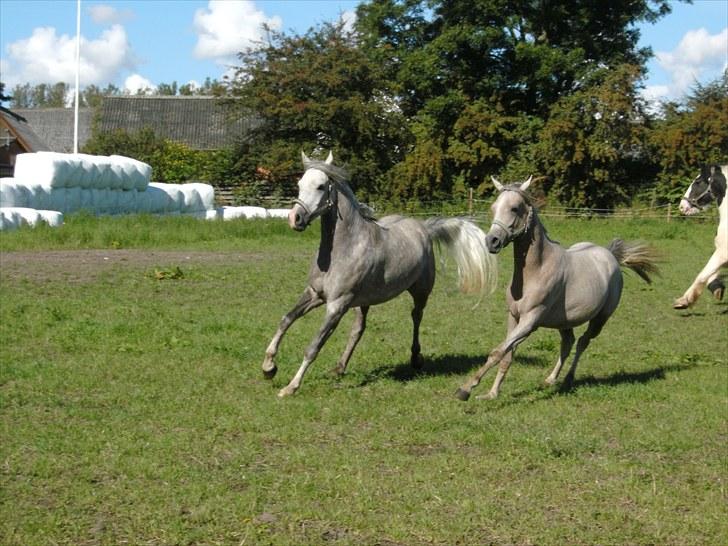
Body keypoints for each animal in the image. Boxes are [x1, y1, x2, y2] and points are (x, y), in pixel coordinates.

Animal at [260, 151, 494, 394]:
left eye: (321, 186)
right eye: (299, 184)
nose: (295, 219)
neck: (344, 249)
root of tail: (424, 228)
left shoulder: (336, 305)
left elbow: (313, 346)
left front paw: (290, 387)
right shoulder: (315, 294)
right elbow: (286, 319)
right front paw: (268, 367)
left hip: (420, 292)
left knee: (416, 317)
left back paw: (416, 359)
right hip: (363, 302)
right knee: (358, 329)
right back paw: (339, 367)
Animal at [456, 177, 660, 400]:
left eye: (515, 208)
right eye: (493, 207)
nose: (492, 241)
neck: (537, 270)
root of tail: (610, 255)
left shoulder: (530, 321)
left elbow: (498, 352)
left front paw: (465, 389)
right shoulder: (514, 316)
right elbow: (506, 354)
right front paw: (491, 393)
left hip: (600, 319)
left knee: (582, 342)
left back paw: (568, 380)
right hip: (565, 322)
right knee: (568, 343)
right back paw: (550, 379)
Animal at [672, 164, 724, 308]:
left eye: (698, 182)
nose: (682, 206)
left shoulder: (722, 253)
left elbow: (703, 274)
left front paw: (684, 301)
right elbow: (710, 273)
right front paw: (717, 289)